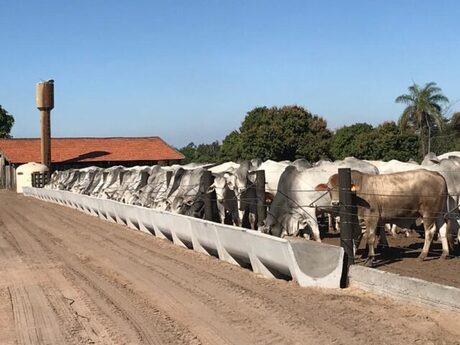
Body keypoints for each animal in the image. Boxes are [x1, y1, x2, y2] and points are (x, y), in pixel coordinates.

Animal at [316, 169, 450, 264]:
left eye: (341, 189)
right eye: (328, 188)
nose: (335, 203)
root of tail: (436, 173)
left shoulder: (372, 217)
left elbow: (370, 238)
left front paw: (370, 258)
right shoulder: (358, 220)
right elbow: (356, 238)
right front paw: (352, 255)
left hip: (428, 213)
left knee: (430, 232)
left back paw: (422, 255)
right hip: (439, 212)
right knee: (443, 229)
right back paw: (444, 253)